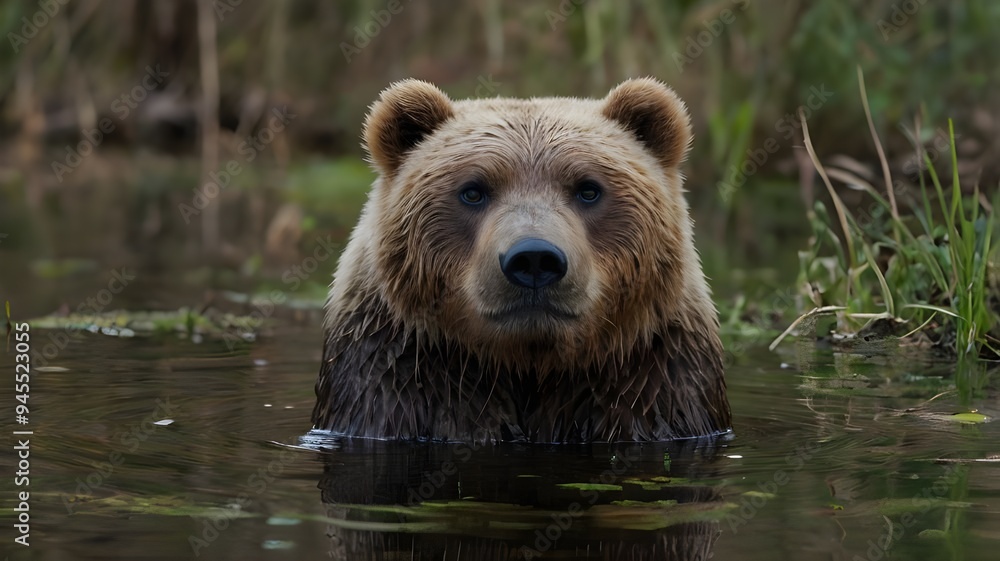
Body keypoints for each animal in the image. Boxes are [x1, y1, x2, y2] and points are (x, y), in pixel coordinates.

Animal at [311, 78, 731, 443]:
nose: (534, 259)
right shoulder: (398, 377)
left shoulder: (655, 379)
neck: (525, 366)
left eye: (588, 189)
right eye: (473, 191)